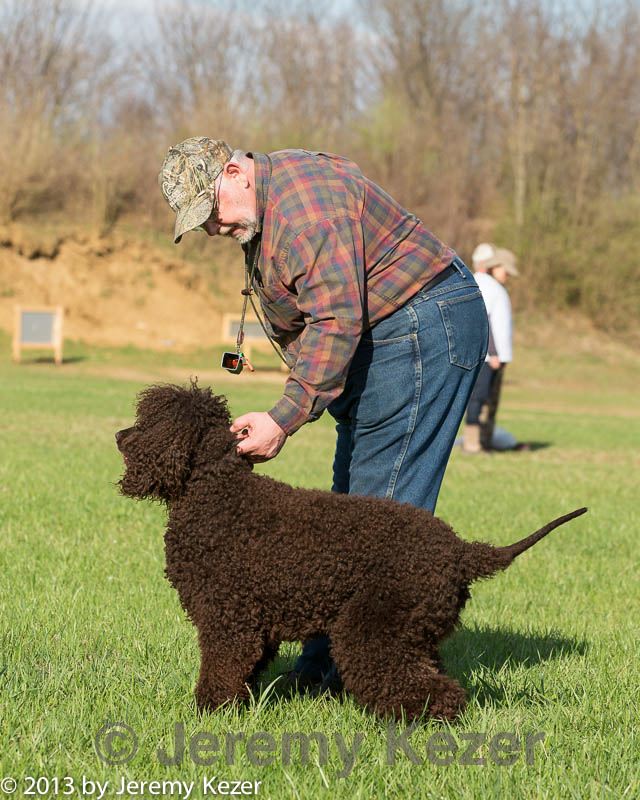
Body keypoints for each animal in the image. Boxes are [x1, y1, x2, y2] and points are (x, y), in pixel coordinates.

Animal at [117, 384, 588, 720]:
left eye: (149, 422)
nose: (120, 435)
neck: (218, 492)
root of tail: (459, 550)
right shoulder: (255, 624)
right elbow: (245, 673)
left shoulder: (227, 620)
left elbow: (221, 671)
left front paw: (206, 716)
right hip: (416, 633)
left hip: (372, 627)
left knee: (435, 691)